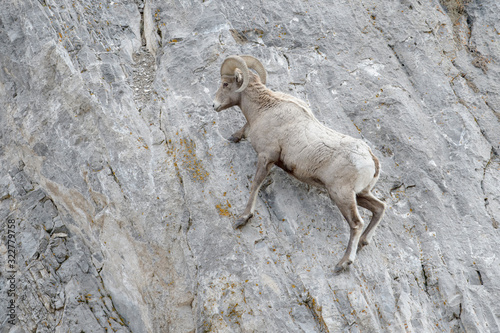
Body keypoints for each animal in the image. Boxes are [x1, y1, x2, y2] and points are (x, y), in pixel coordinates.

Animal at [211, 55, 386, 272]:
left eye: (225, 84)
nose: (214, 105)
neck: (263, 110)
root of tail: (371, 159)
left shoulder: (266, 157)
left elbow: (255, 185)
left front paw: (243, 218)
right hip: (359, 194)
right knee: (379, 208)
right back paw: (363, 242)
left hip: (341, 195)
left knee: (357, 223)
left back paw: (343, 263)